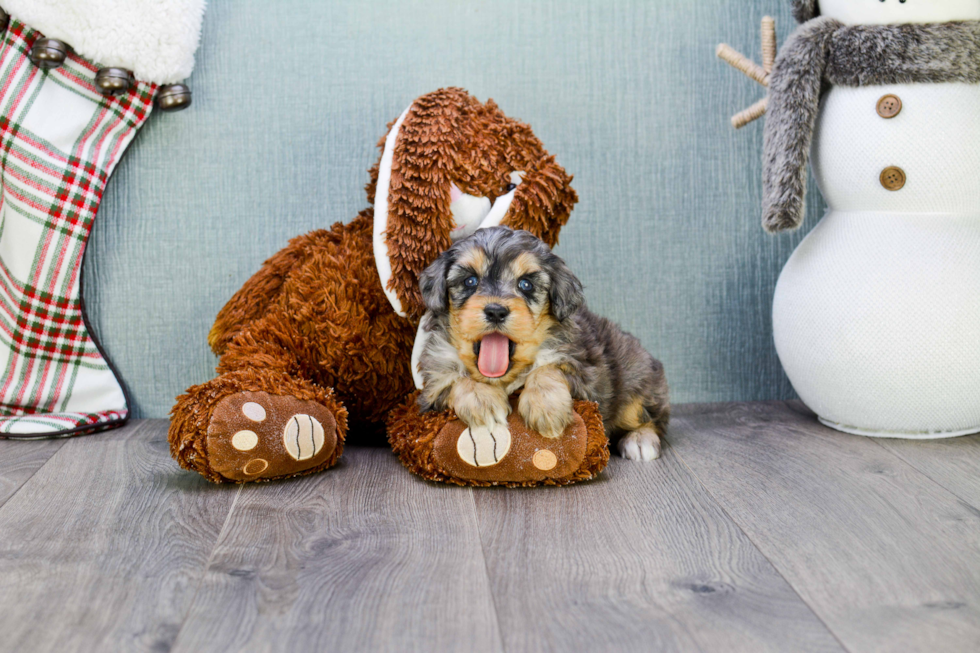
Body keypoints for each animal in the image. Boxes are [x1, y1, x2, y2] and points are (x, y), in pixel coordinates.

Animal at [414, 227, 668, 460]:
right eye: (470, 281)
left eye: (526, 284)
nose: (496, 311)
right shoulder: (431, 388)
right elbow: (456, 379)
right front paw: (482, 400)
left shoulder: (585, 376)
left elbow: (548, 369)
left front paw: (546, 408)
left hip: (636, 378)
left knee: (650, 416)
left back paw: (640, 440)